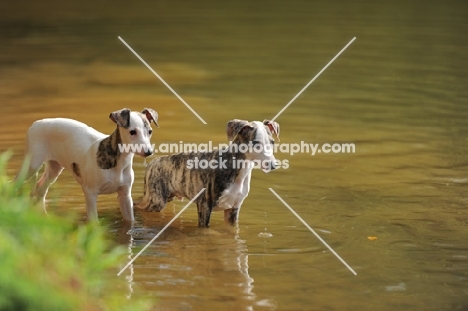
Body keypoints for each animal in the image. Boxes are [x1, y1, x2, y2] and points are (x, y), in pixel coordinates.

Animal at [16, 108, 157, 223]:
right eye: (132, 132)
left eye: (150, 131)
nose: (149, 152)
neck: (118, 161)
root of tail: (36, 123)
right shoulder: (90, 192)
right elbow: (94, 221)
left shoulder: (125, 196)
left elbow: (130, 222)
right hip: (31, 166)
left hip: (54, 168)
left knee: (40, 189)